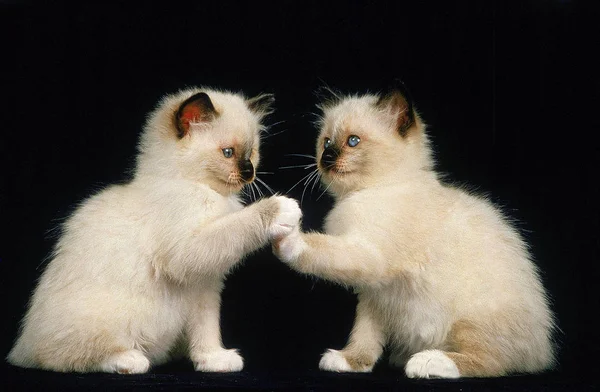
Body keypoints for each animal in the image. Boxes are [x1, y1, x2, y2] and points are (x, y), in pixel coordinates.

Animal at [7, 88, 302, 374]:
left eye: (251, 154)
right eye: (228, 153)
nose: (249, 172)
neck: (202, 190)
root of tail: (20, 348)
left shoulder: (205, 288)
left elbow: (206, 331)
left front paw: (213, 360)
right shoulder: (189, 251)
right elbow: (240, 223)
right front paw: (283, 208)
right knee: (65, 358)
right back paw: (131, 361)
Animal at [274, 83, 556, 380]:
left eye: (352, 141)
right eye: (327, 142)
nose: (326, 158)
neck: (366, 192)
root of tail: (545, 352)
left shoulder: (367, 256)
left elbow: (317, 248)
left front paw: (287, 236)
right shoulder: (374, 296)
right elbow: (364, 335)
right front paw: (351, 362)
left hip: (469, 320)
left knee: (491, 362)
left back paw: (427, 362)